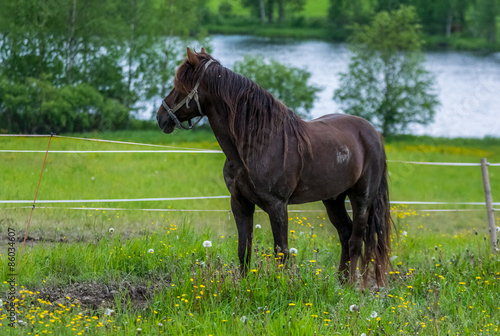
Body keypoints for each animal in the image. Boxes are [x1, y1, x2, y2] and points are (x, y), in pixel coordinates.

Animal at [156, 47, 394, 288]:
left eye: (180, 86)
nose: (161, 117)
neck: (256, 144)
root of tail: (373, 133)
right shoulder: (240, 203)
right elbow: (244, 250)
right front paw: (245, 287)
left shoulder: (277, 206)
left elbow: (282, 252)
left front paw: (282, 287)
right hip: (333, 199)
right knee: (345, 234)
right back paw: (340, 284)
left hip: (362, 198)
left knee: (356, 241)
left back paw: (351, 288)